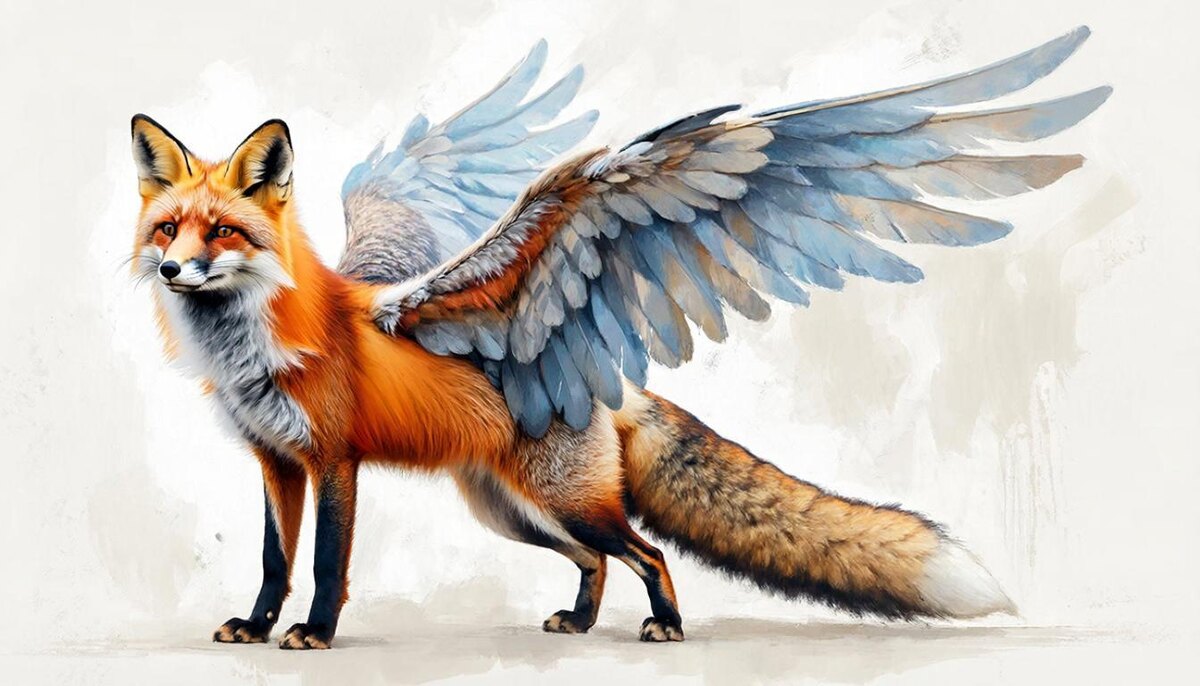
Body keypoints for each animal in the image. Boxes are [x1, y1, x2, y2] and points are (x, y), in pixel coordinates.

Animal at [129, 29, 1105, 648]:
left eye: (223, 233)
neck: (258, 346)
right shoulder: (275, 461)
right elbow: (273, 559)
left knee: (648, 550)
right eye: (168, 228)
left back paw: (665, 627)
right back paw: (584, 622)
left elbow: (326, 563)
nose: (173, 271)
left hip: (563, 503)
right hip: (513, 511)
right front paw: (257, 626)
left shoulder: (333, 461)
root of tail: (603, 382)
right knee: (600, 561)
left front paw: (315, 635)